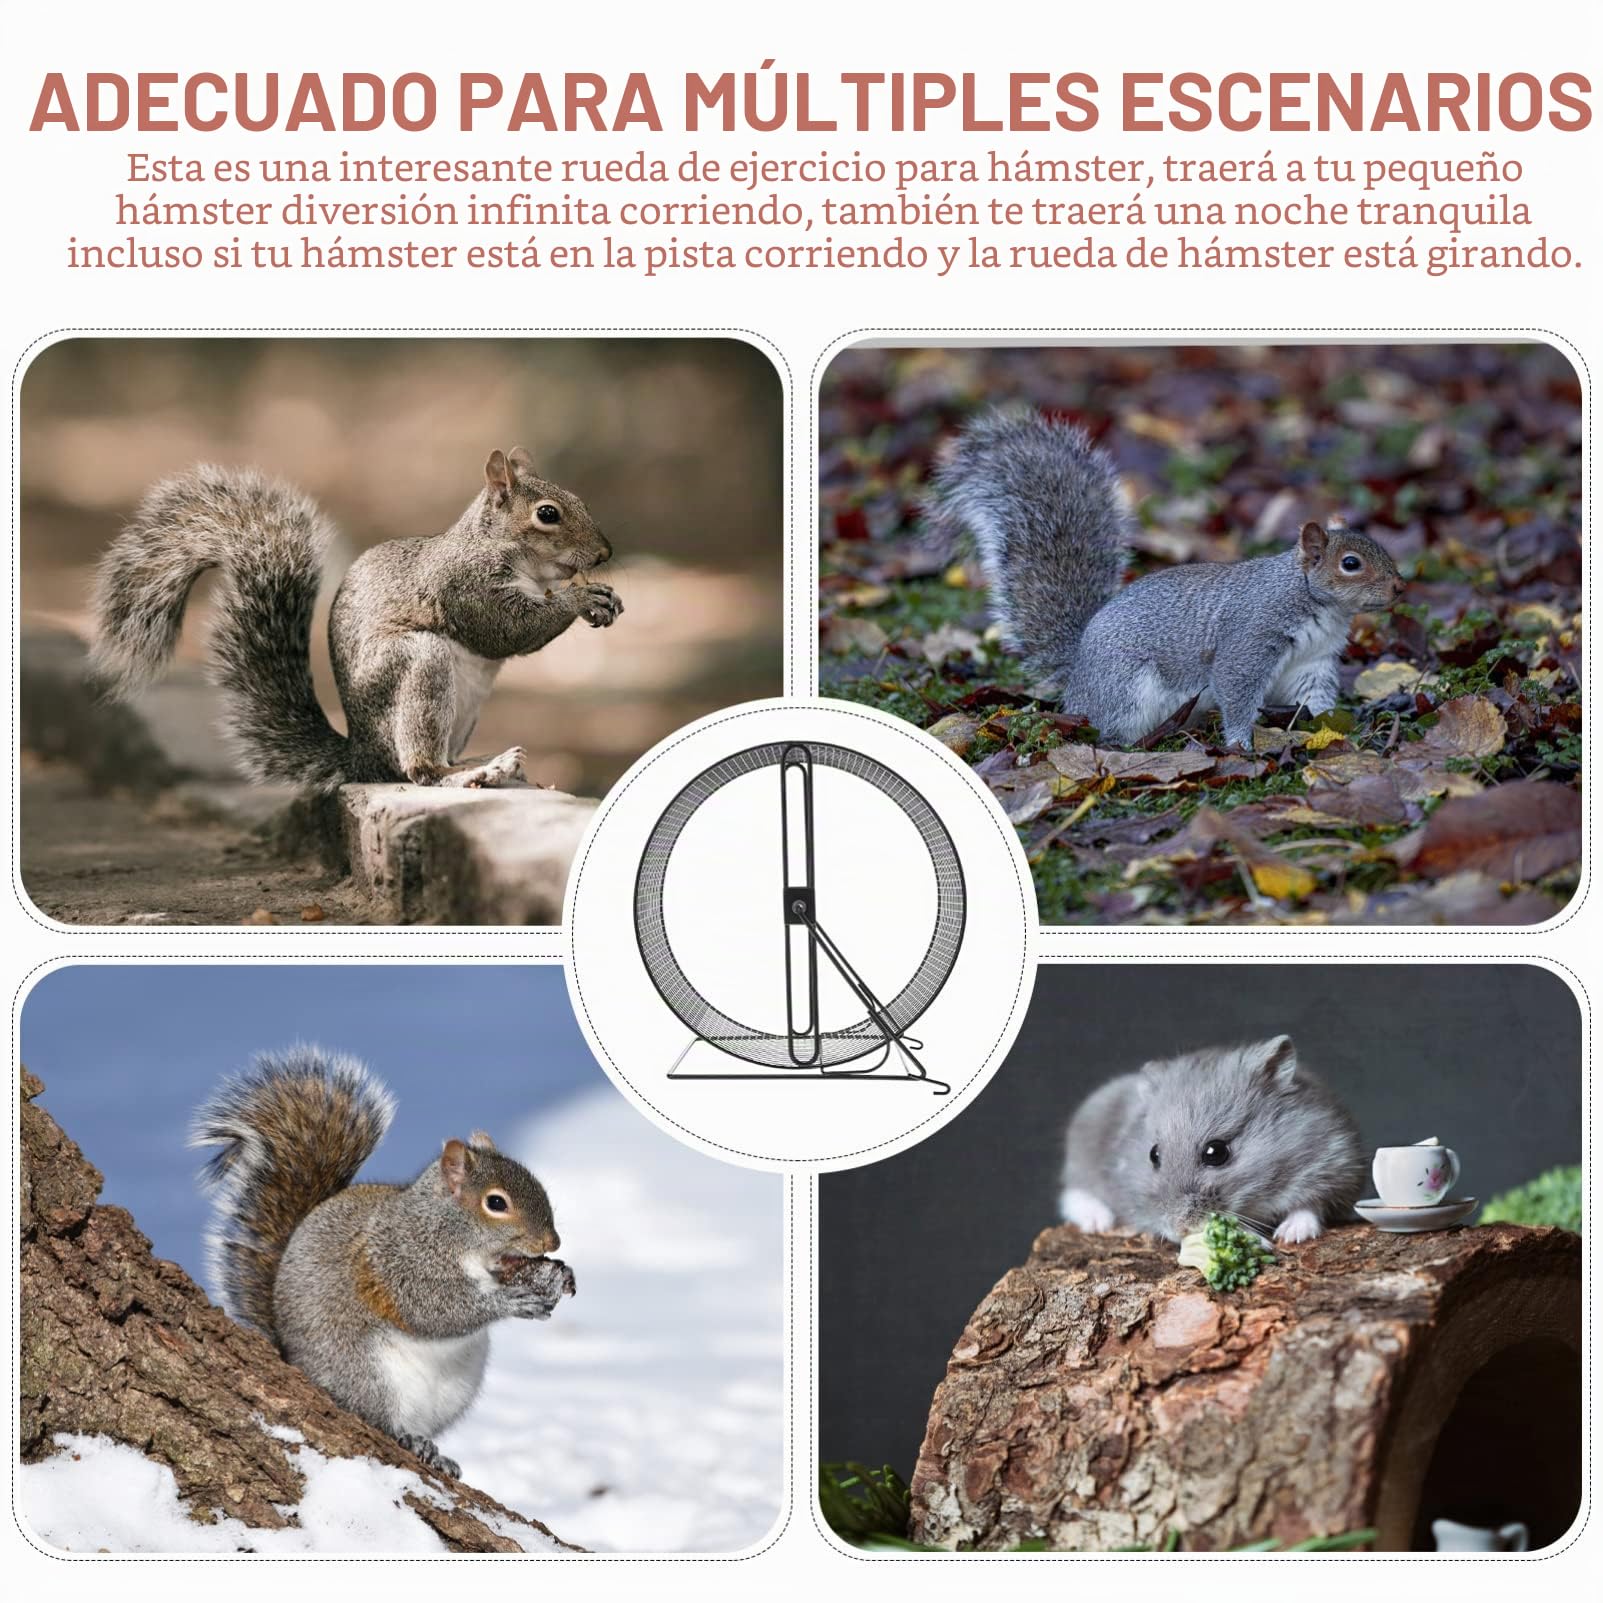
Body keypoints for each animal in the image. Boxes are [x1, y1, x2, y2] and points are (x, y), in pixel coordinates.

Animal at [1058, 1035, 1365, 1245]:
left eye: (1216, 1152)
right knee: (1074, 1193)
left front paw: (1290, 1236)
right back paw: (1098, 1222)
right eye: (1153, 1155)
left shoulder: (1335, 1164)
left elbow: (1310, 1206)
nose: (1178, 1229)